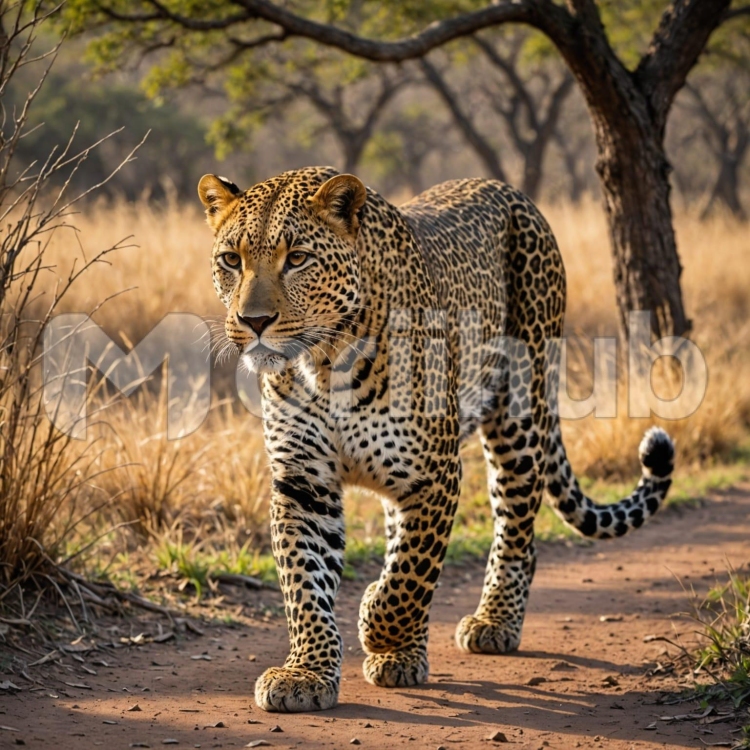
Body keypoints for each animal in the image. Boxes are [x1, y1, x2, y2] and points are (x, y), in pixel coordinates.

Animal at [198, 166, 675, 713]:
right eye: (231, 260)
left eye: (297, 258)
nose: (253, 322)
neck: (324, 361)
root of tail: (507, 190)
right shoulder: (303, 482)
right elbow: (304, 582)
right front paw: (307, 672)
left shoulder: (434, 477)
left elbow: (408, 577)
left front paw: (375, 623)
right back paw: (407, 653)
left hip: (519, 414)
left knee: (517, 533)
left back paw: (491, 623)